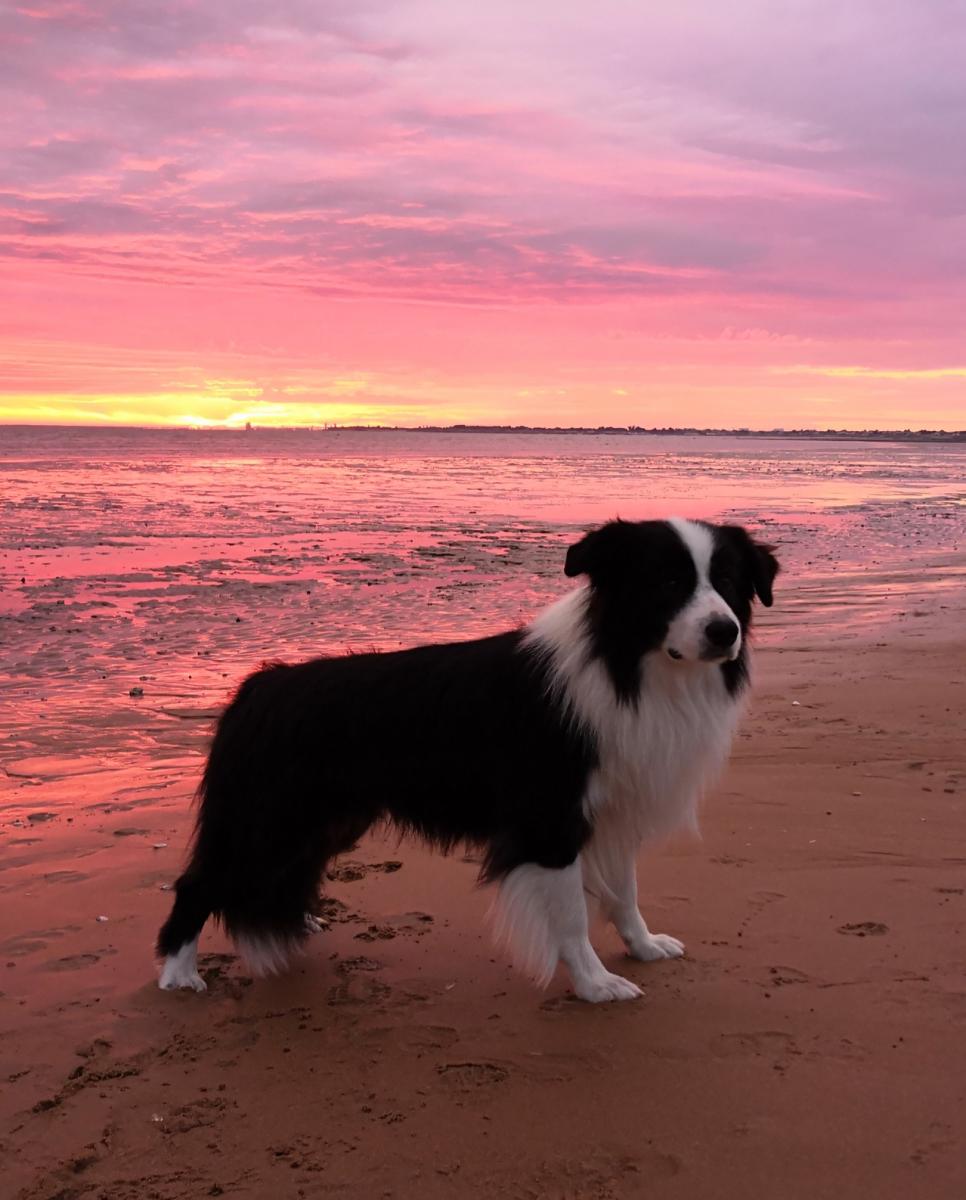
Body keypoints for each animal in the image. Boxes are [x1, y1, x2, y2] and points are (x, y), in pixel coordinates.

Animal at [158, 520, 777, 998]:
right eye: (667, 582)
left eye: (727, 582)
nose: (725, 632)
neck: (628, 666)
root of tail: (256, 687)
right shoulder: (549, 821)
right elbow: (571, 917)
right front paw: (594, 984)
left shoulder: (614, 811)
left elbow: (625, 893)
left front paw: (643, 947)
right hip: (268, 820)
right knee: (199, 882)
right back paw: (178, 976)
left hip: (328, 822)